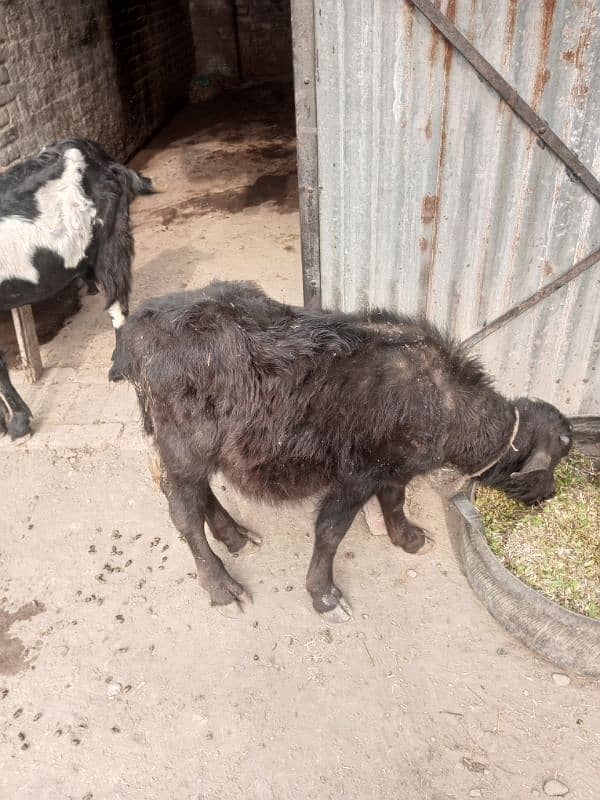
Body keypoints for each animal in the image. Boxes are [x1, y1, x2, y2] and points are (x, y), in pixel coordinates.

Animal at [110, 282, 576, 624]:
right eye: (550, 464)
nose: (551, 495)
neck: (444, 402)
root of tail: (137, 331)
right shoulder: (356, 476)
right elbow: (331, 531)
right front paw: (324, 596)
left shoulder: (393, 468)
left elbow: (395, 501)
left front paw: (408, 539)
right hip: (183, 444)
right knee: (183, 510)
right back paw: (222, 587)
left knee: (200, 492)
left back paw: (237, 536)